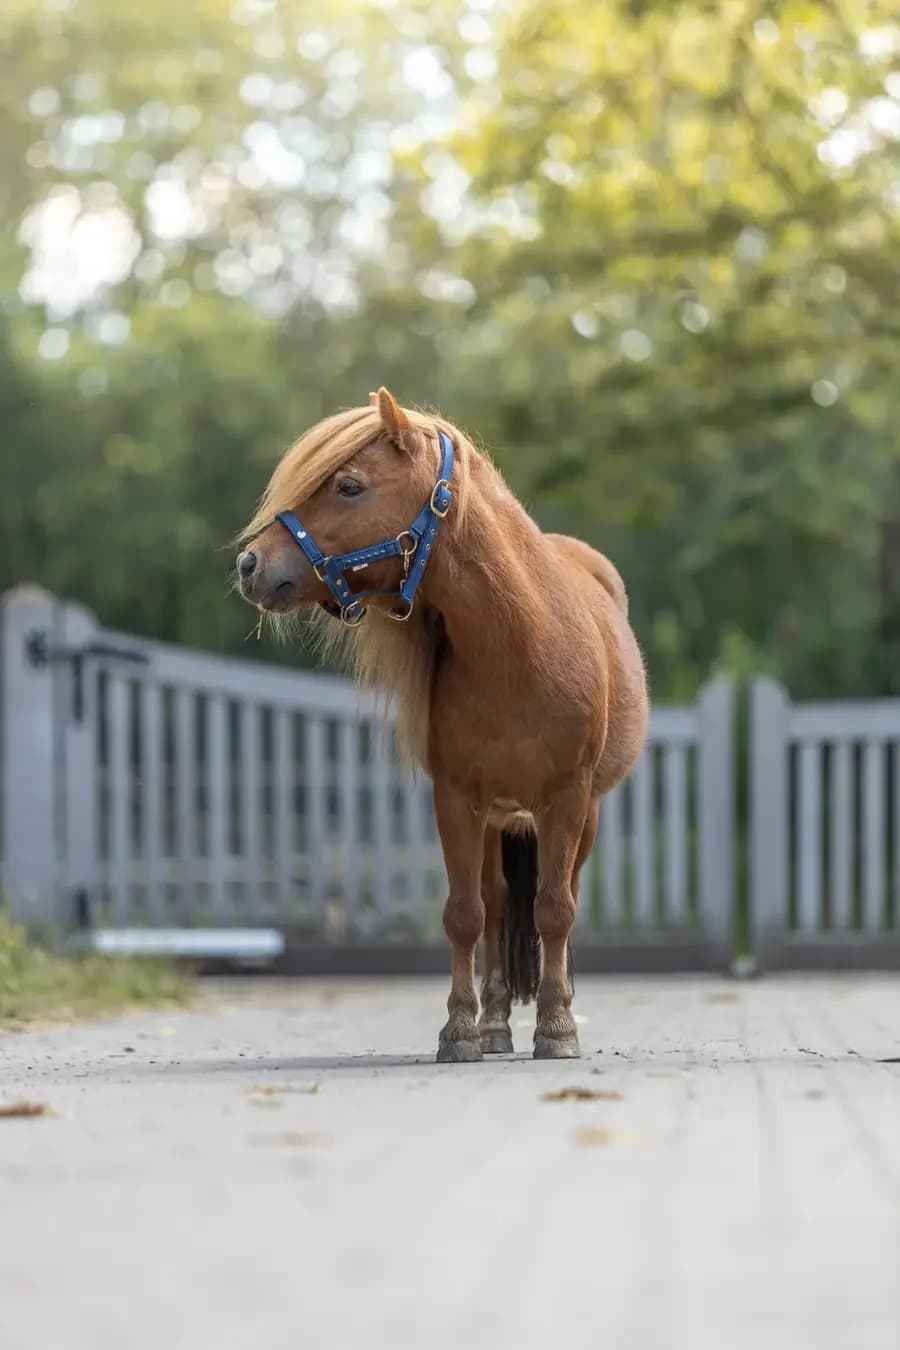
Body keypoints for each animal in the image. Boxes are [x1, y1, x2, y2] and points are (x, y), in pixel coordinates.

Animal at [237, 388, 649, 1061]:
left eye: (348, 485)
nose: (252, 564)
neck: (519, 649)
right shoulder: (457, 799)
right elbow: (465, 914)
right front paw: (461, 1029)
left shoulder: (568, 798)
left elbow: (555, 910)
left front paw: (557, 1028)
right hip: (497, 821)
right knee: (498, 905)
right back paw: (497, 1023)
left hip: (575, 815)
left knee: (555, 898)